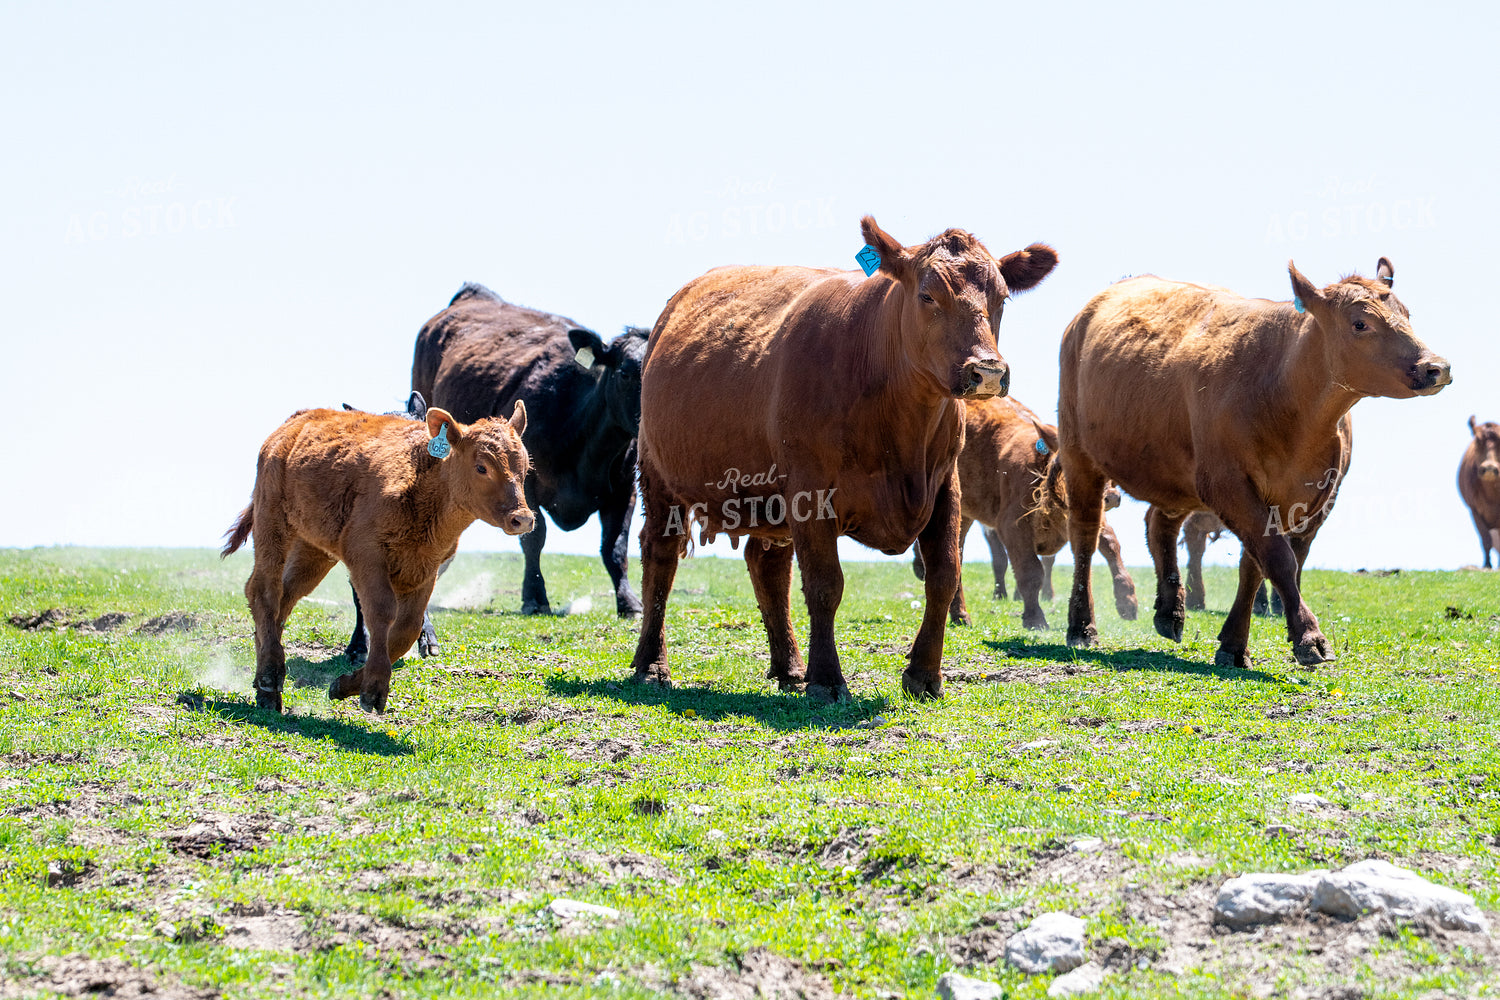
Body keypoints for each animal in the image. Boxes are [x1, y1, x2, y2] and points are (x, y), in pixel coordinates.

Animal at [222, 404, 534, 714]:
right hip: (272, 524)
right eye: (482, 467)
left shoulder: (426, 568)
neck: (422, 486)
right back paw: (270, 676)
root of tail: (297, 421)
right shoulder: (367, 558)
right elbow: (381, 613)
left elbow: (406, 629)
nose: (522, 518)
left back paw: (267, 687)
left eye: (525, 469)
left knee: (284, 598)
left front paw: (344, 685)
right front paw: (373, 689)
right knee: (263, 591)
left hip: (313, 550)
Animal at [412, 283, 647, 617]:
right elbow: (534, 536)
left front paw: (629, 603)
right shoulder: (528, 484)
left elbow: (615, 547)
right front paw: (535, 597)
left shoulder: (625, 488)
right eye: (626, 372)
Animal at [630, 216, 1058, 701]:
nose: (987, 370)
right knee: (660, 555)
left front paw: (925, 674)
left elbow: (944, 576)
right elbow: (824, 584)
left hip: (771, 500)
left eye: (1001, 298)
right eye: (928, 295)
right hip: (659, 475)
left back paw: (789, 667)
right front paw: (827, 679)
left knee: (767, 565)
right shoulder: (811, 491)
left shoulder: (945, 485)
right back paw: (652, 665)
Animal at [911, 395, 1136, 629]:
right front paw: (1035, 618)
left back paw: (958, 613)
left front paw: (1127, 600)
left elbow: (1111, 544)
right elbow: (1030, 571)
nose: (1111, 497)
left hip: (963, 515)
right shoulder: (1012, 525)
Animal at [1059, 258, 1449, 668]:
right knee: (1085, 535)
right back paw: (1082, 626)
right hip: (1078, 452)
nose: (1437, 367)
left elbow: (1257, 565)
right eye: (1360, 323)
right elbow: (1277, 558)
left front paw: (1234, 644)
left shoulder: (1309, 498)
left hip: (1173, 471)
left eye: (1406, 314)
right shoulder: (1228, 485)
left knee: (1159, 524)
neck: (1284, 390)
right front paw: (1309, 637)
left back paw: (1170, 612)